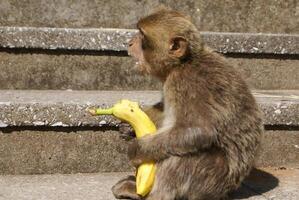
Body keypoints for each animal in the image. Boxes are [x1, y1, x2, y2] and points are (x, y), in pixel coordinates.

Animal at [112, 9, 262, 200]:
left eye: (142, 35)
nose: (130, 43)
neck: (183, 63)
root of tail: (227, 190)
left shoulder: (186, 82)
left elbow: (199, 131)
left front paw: (136, 149)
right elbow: (165, 110)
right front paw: (129, 128)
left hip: (210, 182)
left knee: (186, 153)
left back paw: (152, 194)